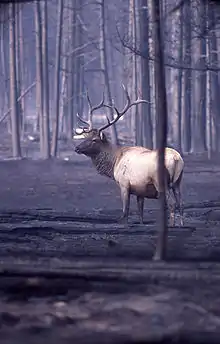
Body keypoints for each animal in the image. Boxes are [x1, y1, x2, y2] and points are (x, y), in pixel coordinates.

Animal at [74, 85, 184, 226]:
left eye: (94, 140)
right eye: (85, 137)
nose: (76, 148)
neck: (114, 162)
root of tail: (176, 159)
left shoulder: (124, 184)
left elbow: (125, 211)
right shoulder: (140, 190)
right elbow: (140, 212)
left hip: (161, 182)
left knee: (171, 204)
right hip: (177, 182)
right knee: (180, 203)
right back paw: (181, 224)